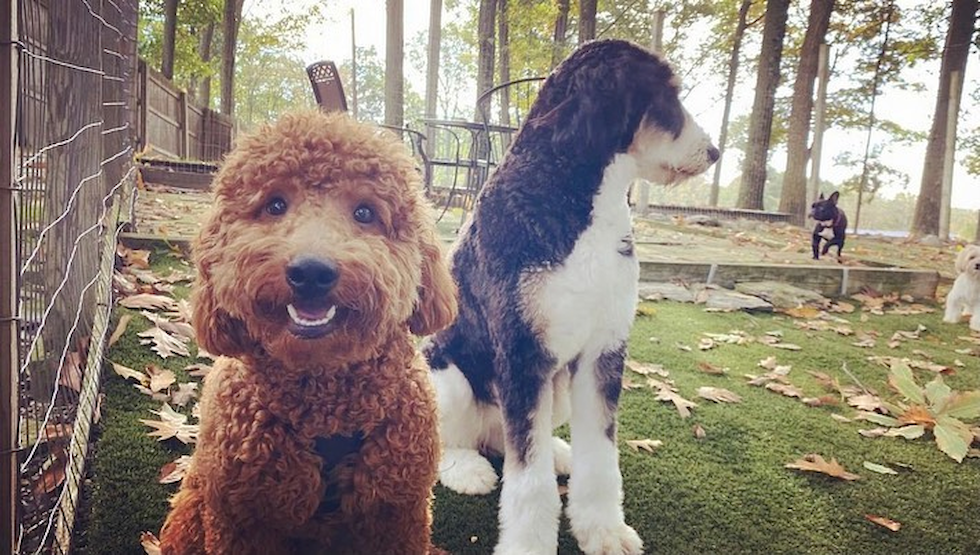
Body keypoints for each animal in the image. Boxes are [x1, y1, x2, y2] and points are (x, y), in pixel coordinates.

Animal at [158, 109, 460, 555]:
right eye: (275, 204)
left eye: (365, 212)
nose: (311, 272)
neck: (325, 403)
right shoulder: (240, 517)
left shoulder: (397, 511)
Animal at [424, 40, 716, 555]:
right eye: (668, 96)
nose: (715, 151)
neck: (578, 208)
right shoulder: (523, 353)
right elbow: (529, 481)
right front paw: (528, 544)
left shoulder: (604, 351)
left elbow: (600, 458)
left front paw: (603, 529)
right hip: (448, 375)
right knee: (459, 441)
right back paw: (467, 469)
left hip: (554, 391)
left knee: (508, 439)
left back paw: (559, 452)